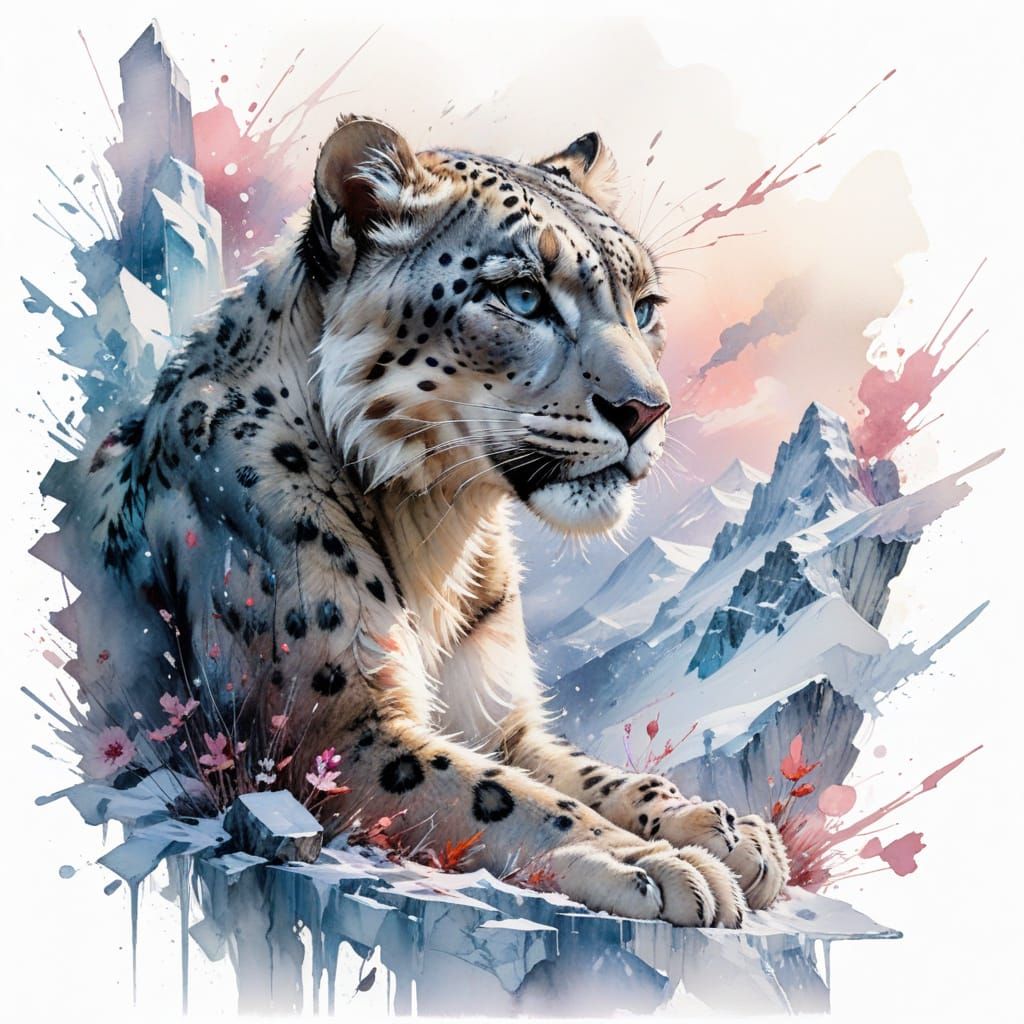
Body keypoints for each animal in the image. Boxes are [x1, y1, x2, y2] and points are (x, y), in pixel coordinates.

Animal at [79, 116, 788, 927]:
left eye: (643, 307)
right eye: (522, 296)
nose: (647, 409)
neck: (441, 537)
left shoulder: (498, 721)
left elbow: (586, 775)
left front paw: (718, 826)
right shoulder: (329, 733)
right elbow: (509, 799)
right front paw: (661, 864)